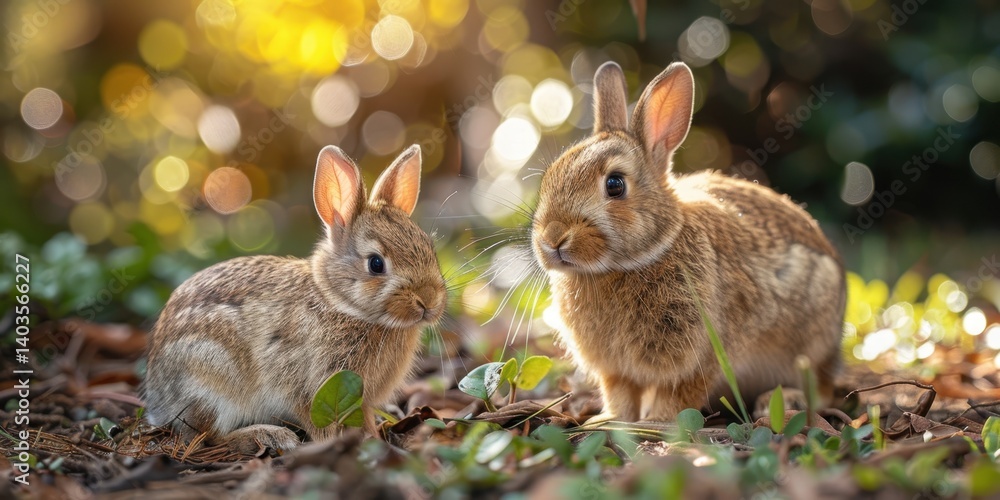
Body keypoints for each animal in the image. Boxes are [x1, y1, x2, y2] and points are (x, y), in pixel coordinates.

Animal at [142, 144, 447, 453]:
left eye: (430, 248)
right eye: (375, 264)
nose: (429, 301)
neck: (342, 305)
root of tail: (158, 401)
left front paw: (375, 436)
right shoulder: (307, 386)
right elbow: (317, 422)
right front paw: (337, 444)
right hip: (211, 382)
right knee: (206, 436)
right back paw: (271, 435)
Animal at [530, 61, 846, 423]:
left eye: (615, 185)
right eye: (551, 175)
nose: (552, 238)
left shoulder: (702, 354)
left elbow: (680, 393)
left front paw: (657, 422)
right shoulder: (616, 371)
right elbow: (620, 395)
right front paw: (609, 421)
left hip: (812, 342)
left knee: (819, 389)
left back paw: (782, 400)